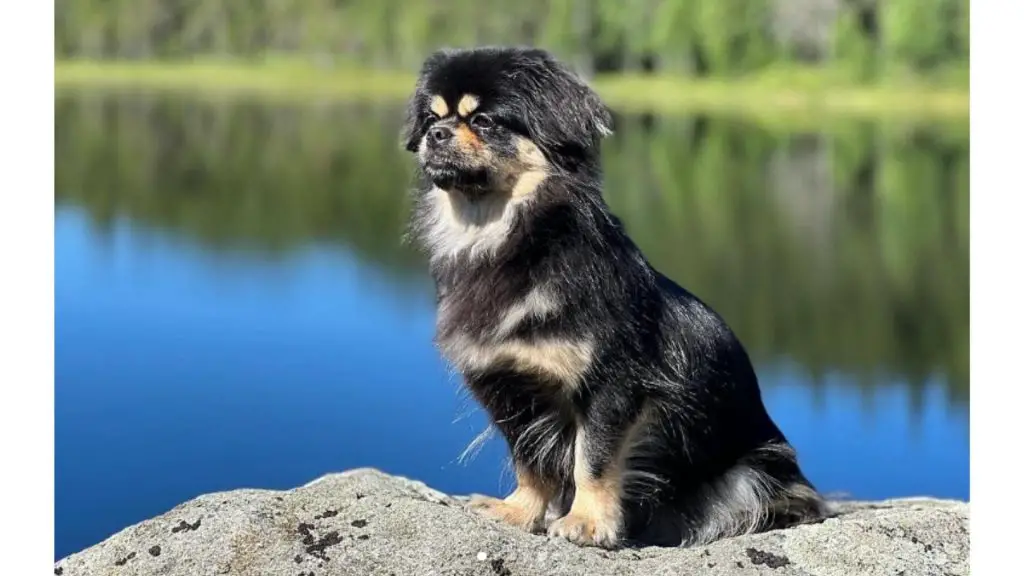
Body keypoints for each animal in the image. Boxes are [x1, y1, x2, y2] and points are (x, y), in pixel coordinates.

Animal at [395, 45, 827, 545]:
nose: (437, 134)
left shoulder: (611, 385)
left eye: (483, 121)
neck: (499, 238)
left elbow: (593, 460)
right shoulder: (508, 387)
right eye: (431, 118)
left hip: (752, 475)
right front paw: (519, 512)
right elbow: (529, 460)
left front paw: (587, 522)